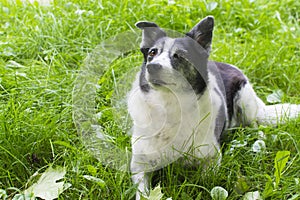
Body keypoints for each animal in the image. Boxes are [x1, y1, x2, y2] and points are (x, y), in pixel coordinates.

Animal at [127, 16, 300, 200]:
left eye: (180, 55)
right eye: (152, 53)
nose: (152, 67)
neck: (170, 105)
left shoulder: (211, 159)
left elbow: (204, 182)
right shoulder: (139, 164)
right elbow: (142, 191)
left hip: (244, 99)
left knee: (254, 125)